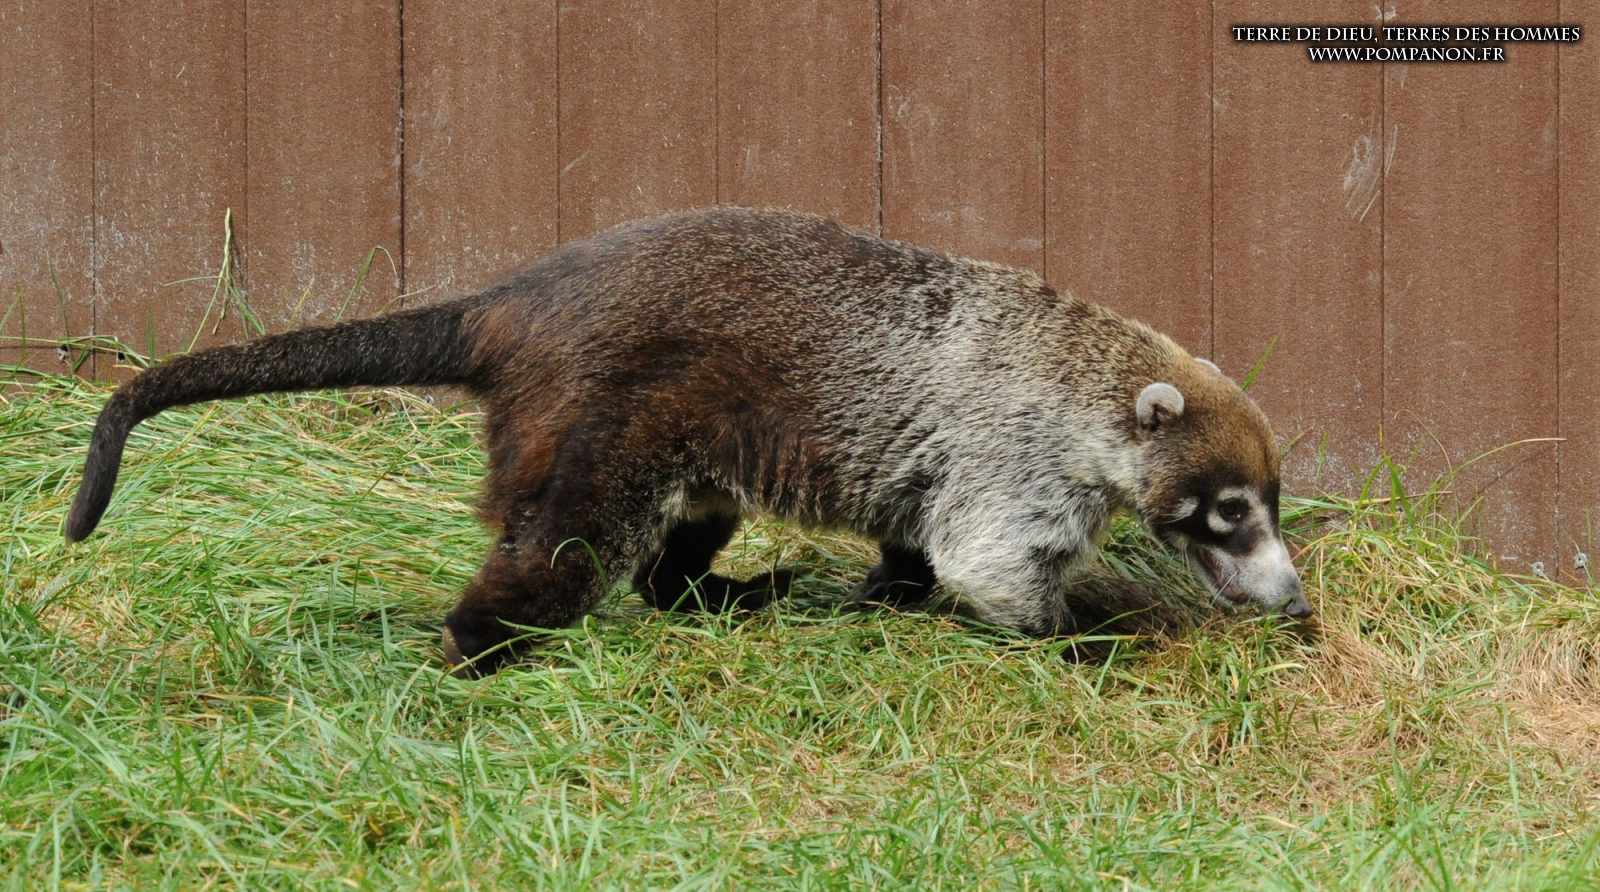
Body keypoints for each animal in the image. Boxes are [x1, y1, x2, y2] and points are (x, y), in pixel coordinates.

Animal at [66, 207, 1308, 675]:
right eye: (1228, 512)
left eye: (1268, 509)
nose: (1295, 602)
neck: (1093, 373)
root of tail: (511, 305)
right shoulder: (1013, 455)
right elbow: (990, 563)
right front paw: (1092, 638)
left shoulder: (940, 462)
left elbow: (919, 543)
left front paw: (890, 590)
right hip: (599, 425)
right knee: (565, 551)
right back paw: (477, 650)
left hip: (686, 447)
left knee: (679, 542)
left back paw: (720, 594)